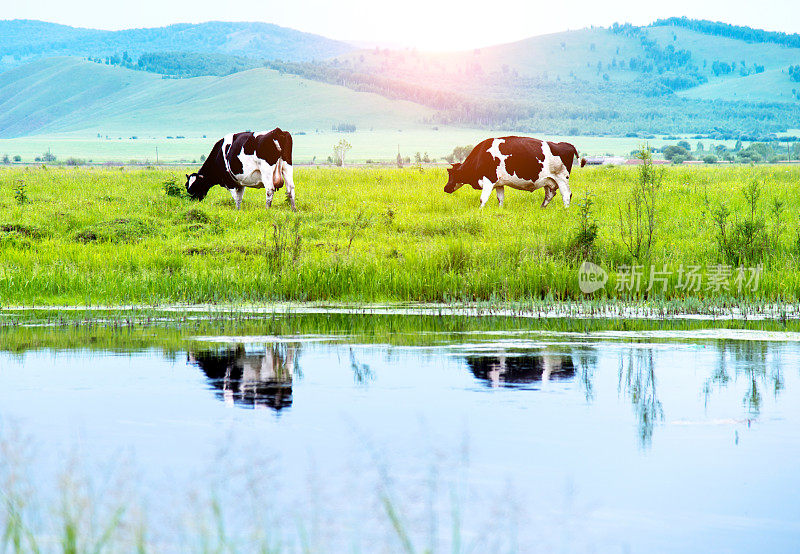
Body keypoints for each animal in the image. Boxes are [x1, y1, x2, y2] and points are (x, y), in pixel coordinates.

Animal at [440, 137, 584, 208]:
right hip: (549, 181)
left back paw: (565, 210)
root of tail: (566, 144)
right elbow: (500, 199)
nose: (445, 188)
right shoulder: (499, 183)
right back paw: (542, 208)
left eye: (451, 174)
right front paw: (500, 209)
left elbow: (483, 198)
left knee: (566, 195)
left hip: (562, 178)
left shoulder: (489, 180)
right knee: (549, 195)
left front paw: (480, 211)